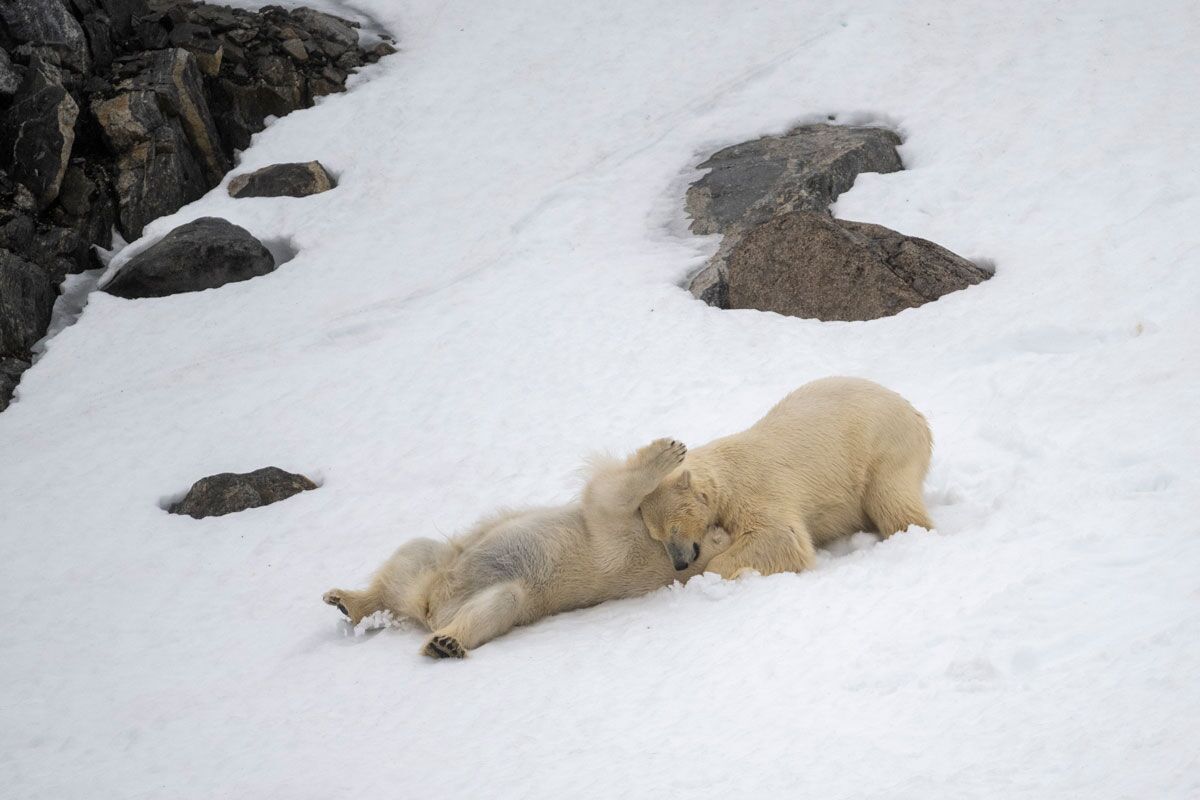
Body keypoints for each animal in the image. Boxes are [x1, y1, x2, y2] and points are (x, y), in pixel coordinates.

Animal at [323, 438, 731, 658]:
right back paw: (347, 600)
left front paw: (667, 452)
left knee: (496, 604)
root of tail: (432, 606)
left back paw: (445, 643)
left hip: (502, 595)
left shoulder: (620, 541)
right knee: (411, 557)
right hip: (444, 560)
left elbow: (607, 495)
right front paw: (671, 452)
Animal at [639, 377, 933, 579]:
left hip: (883, 446)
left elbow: (781, 537)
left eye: (674, 528)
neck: (725, 475)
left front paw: (714, 569)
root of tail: (916, 414)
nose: (680, 563)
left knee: (891, 501)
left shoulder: (756, 490)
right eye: (656, 535)